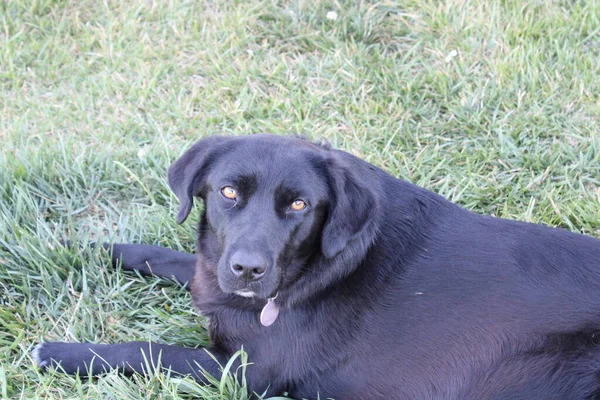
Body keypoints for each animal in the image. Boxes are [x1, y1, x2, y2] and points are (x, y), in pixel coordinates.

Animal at [35, 135, 600, 400]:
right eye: (228, 192)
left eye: (299, 205)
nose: (248, 269)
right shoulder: (214, 272)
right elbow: (178, 259)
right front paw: (91, 249)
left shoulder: (250, 372)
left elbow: (150, 351)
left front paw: (60, 352)